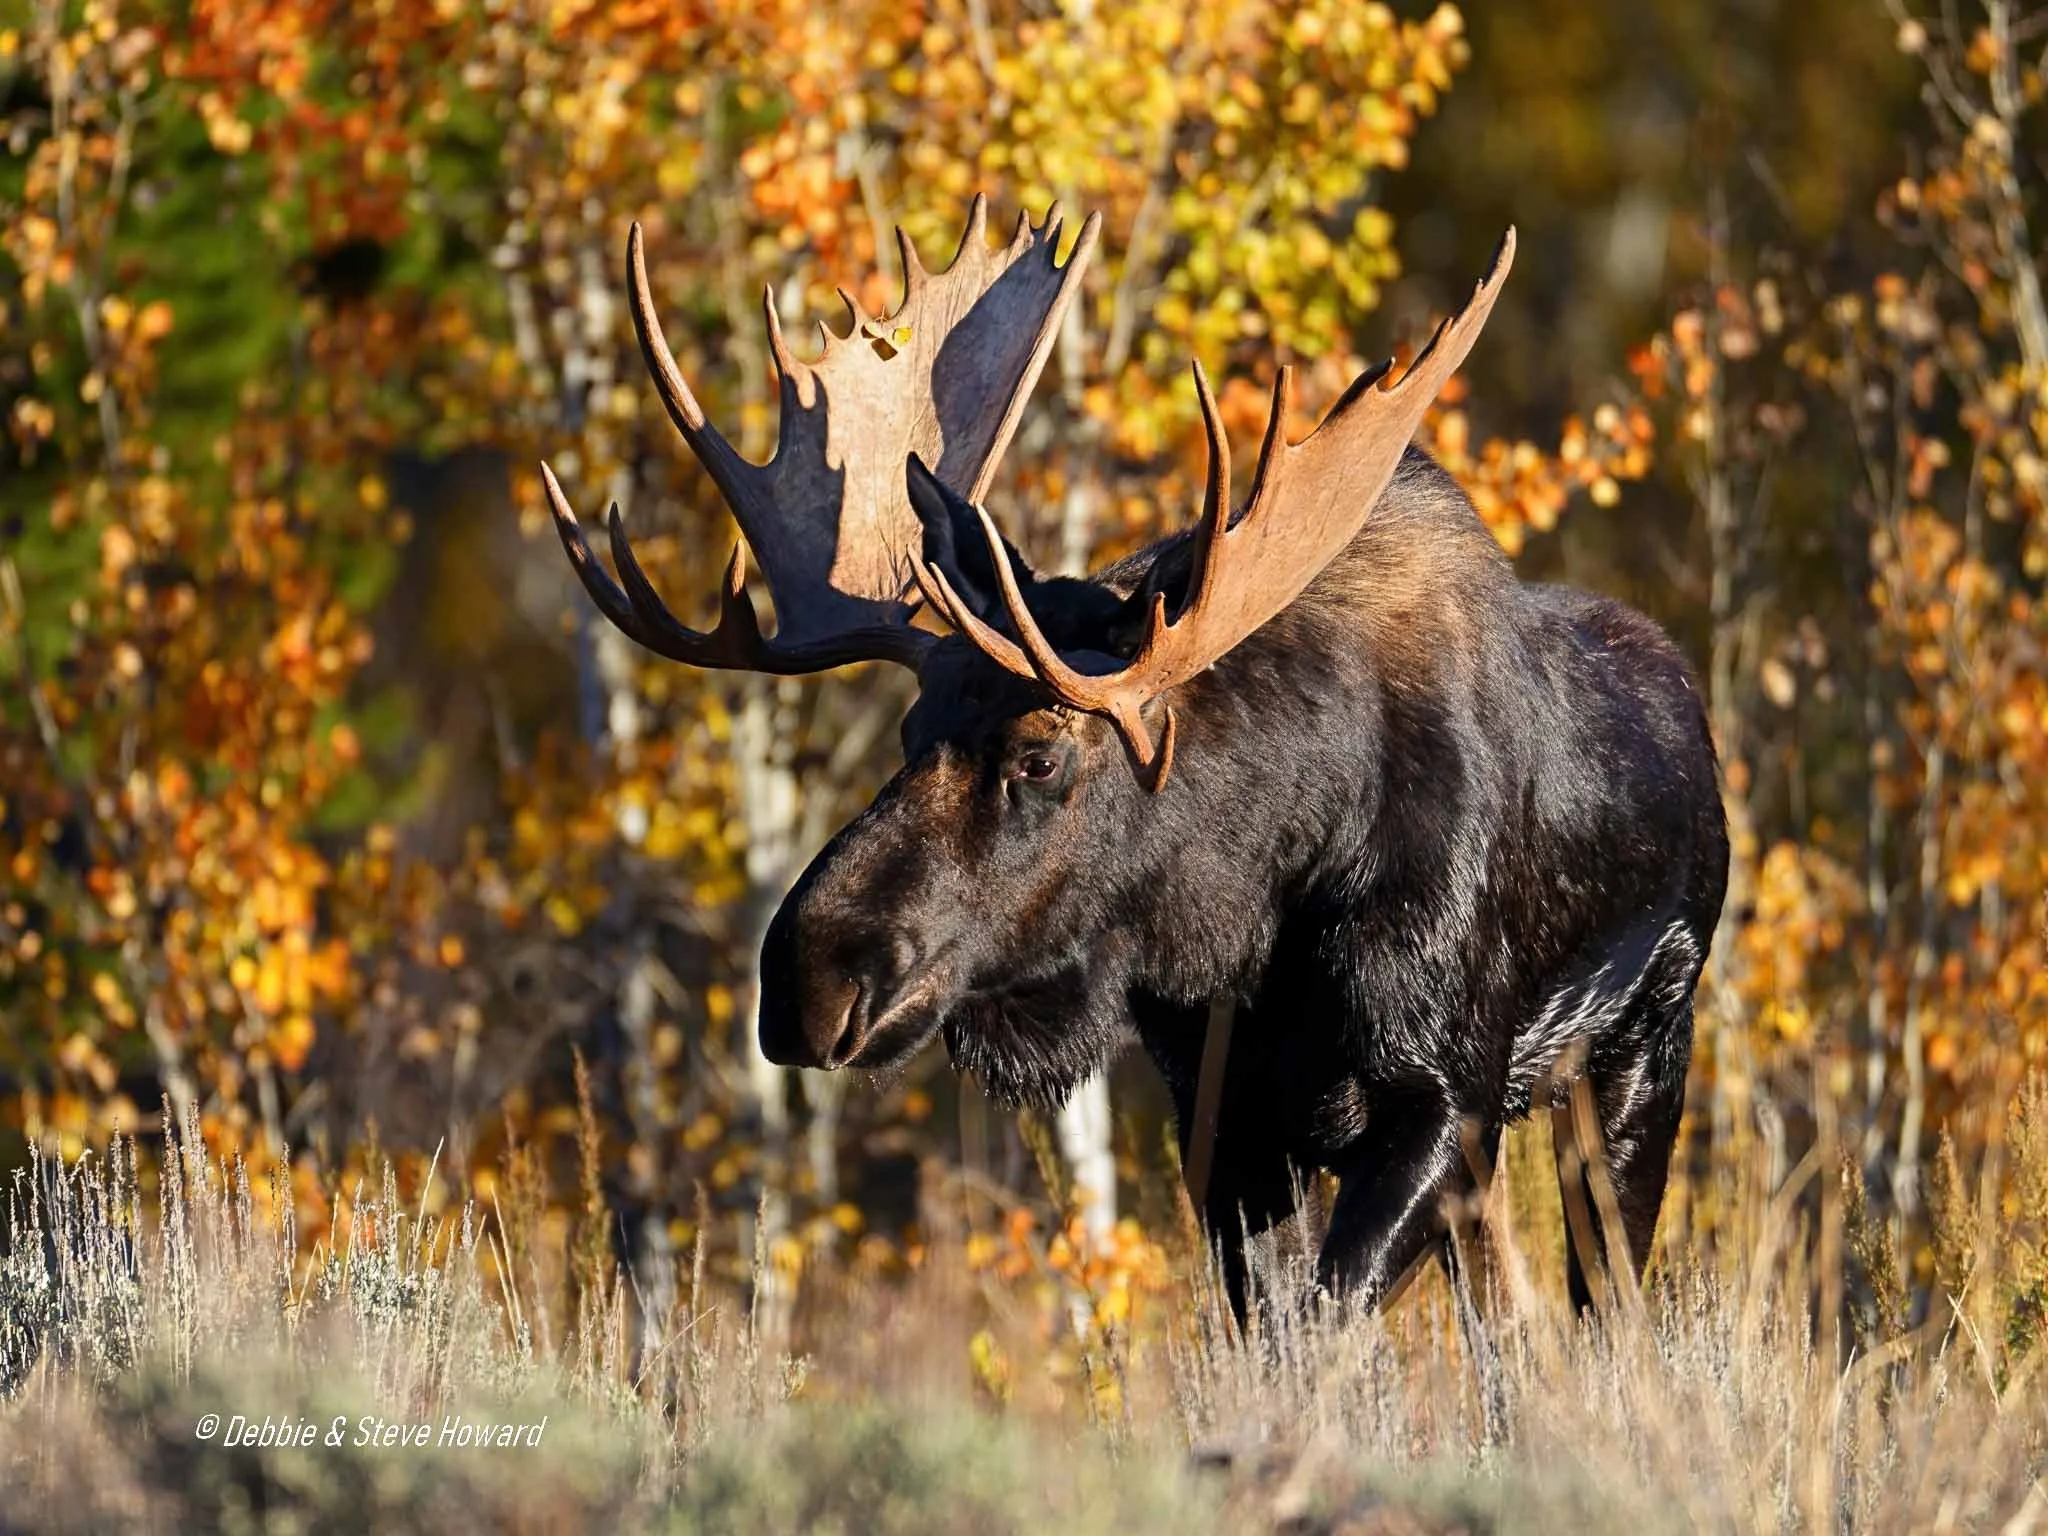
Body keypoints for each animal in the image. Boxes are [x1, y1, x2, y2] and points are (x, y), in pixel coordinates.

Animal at [541, 196, 1730, 1320]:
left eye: (1038, 758)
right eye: (908, 732)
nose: (807, 977)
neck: (1256, 918)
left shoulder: (1445, 1094)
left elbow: (1336, 1315)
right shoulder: (1225, 1118)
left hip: (1640, 1052)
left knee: (1605, 1298)